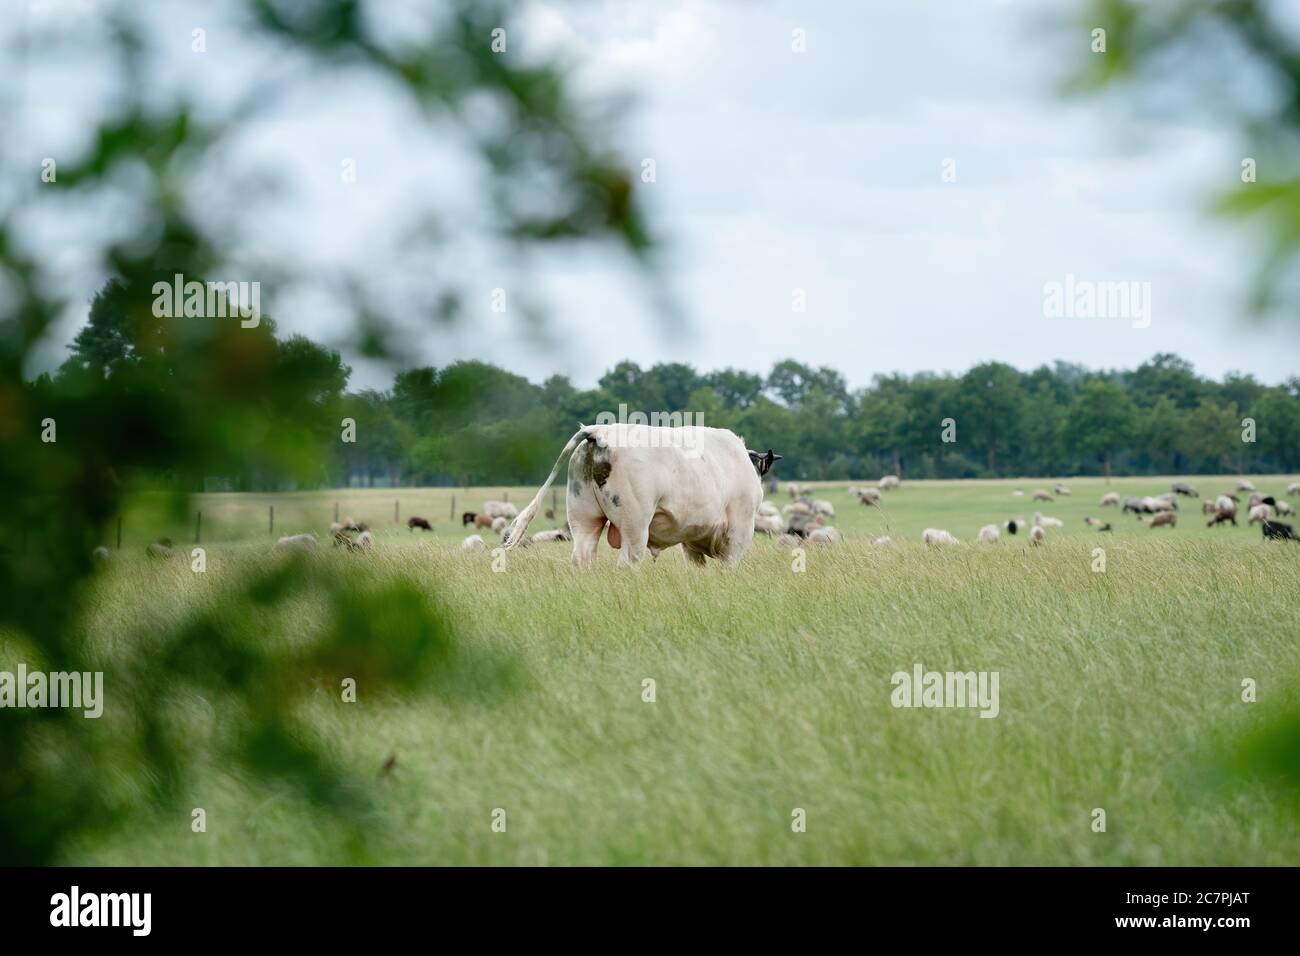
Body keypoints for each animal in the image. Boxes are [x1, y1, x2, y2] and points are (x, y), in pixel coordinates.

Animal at [503, 424, 778, 568]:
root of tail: (600, 431)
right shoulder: (738, 535)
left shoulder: (692, 544)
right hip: (634, 527)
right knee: (627, 562)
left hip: (584, 519)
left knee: (582, 558)